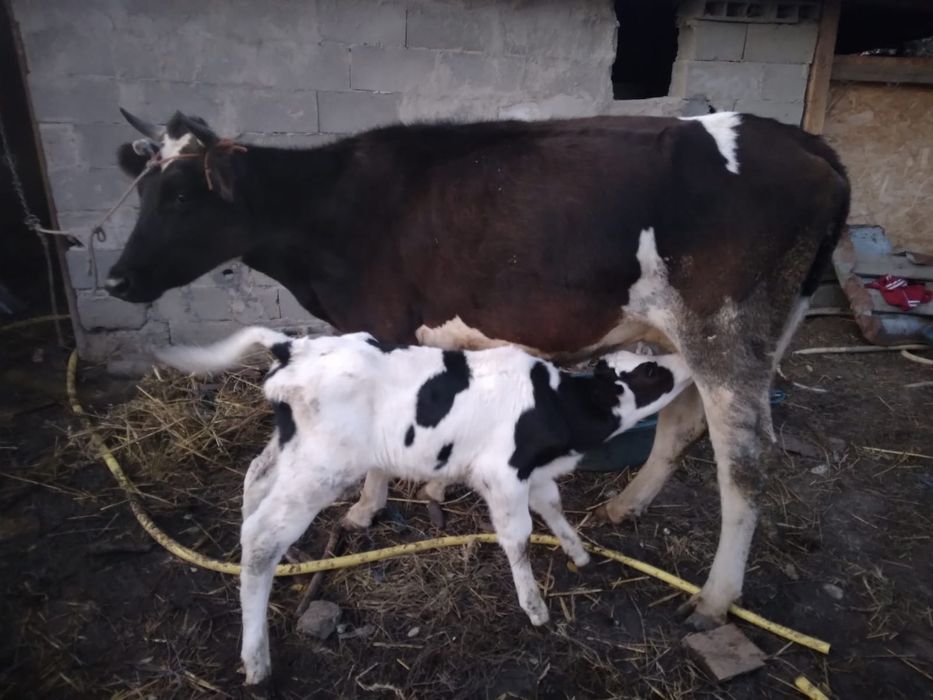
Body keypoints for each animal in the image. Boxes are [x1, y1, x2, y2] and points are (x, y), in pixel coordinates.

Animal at [108, 108, 850, 632]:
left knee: (744, 461)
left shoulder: (380, 321)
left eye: (181, 197)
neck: (329, 209)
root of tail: (804, 143)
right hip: (706, 335)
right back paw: (624, 506)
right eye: (141, 195)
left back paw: (715, 598)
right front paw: (437, 487)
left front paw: (367, 507)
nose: (116, 279)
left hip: (726, 332)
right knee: (682, 425)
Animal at [155, 325, 694, 685]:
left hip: (294, 449)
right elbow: (518, 539)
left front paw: (579, 553)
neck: (556, 408)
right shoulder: (502, 475)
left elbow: (555, 510)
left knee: (254, 480)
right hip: (322, 467)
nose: (687, 364)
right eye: (651, 371)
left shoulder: (533, 474)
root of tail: (293, 346)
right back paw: (257, 657)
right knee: (262, 534)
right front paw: (535, 607)